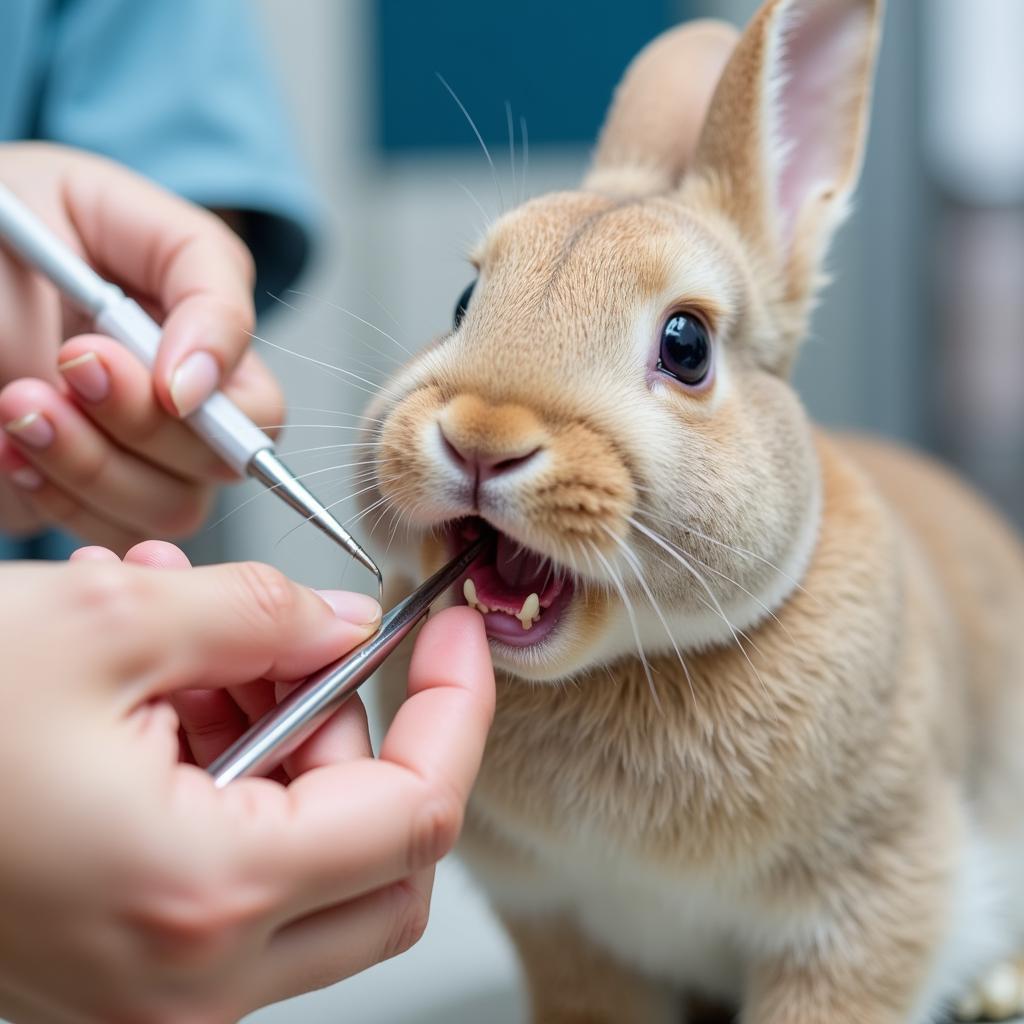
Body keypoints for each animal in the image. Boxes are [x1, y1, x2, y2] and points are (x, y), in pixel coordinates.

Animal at [358, 0, 1024, 1019]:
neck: (632, 663)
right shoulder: (557, 924)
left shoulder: (871, 901)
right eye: (466, 299)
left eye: (686, 345)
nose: (480, 436)